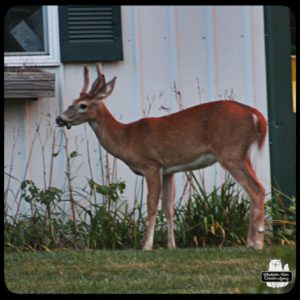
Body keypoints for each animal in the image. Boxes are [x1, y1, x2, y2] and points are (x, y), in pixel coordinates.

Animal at [56, 63, 268, 251]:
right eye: (71, 103)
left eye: (82, 105)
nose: (60, 118)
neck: (126, 137)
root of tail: (255, 114)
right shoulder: (168, 170)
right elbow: (169, 207)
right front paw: (171, 245)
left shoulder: (151, 165)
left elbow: (151, 205)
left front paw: (146, 245)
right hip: (242, 153)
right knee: (254, 190)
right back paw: (252, 241)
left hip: (230, 152)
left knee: (257, 189)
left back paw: (256, 243)